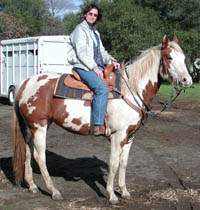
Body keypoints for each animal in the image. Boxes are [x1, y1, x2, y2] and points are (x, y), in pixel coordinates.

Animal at [10, 35, 192, 204]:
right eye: (169, 57)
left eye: (184, 58)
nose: (187, 80)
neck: (130, 90)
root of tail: (24, 83)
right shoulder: (118, 135)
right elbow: (114, 163)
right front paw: (112, 195)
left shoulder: (130, 137)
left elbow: (124, 163)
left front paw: (125, 192)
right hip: (39, 126)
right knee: (39, 156)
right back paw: (54, 192)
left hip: (34, 127)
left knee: (28, 151)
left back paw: (32, 186)